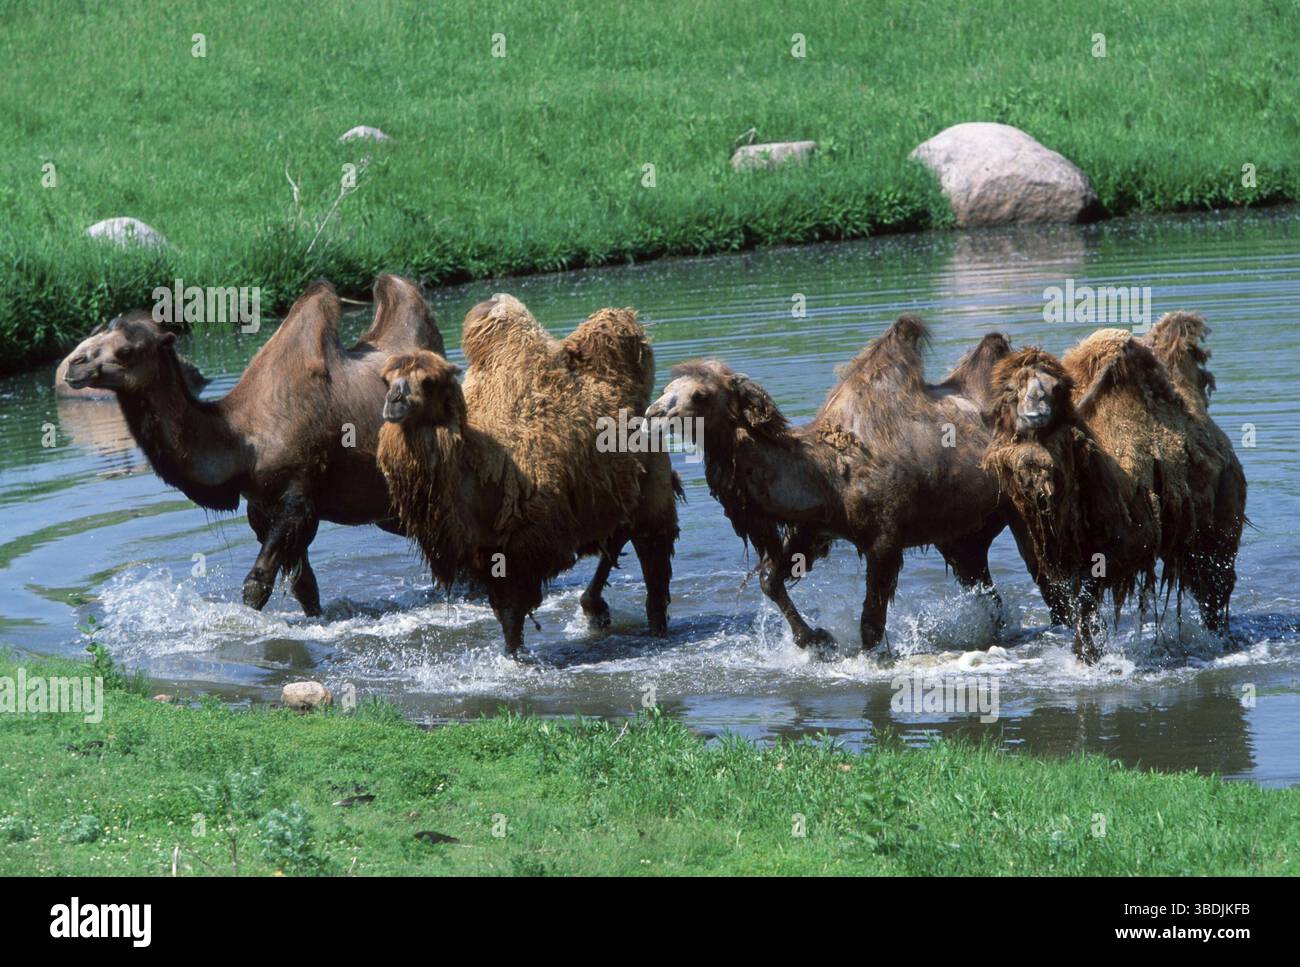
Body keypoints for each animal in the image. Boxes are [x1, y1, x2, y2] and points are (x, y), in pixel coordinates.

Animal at [59, 275, 444, 615]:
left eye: (126, 350)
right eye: (99, 332)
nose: (73, 365)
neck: (244, 444)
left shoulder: (299, 498)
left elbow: (256, 585)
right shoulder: (261, 506)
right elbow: (305, 587)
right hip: (392, 508)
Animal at [377, 295, 680, 655]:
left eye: (428, 381)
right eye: (386, 379)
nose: (394, 401)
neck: (479, 469)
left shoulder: (523, 547)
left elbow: (512, 616)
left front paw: (515, 658)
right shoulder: (487, 554)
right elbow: (507, 618)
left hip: (654, 494)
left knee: (653, 566)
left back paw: (653, 629)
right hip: (617, 494)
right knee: (616, 535)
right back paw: (595, 609)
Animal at [645, 314, 1057, 654]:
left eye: (700, 394)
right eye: (666, 387)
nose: (653, 412)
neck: (827, 476)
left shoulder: (885, 538)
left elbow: (870, 624)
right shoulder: (813, 528)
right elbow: (770, 579)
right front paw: (815, 640)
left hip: (1022, 506)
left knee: (1047, 576)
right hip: (960, 535)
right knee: (985, 587)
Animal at [983, 321, 1245, 661]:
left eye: (1056, 389)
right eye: (1011, 390)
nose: (1034, 414)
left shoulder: (1117, 549)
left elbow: (1086, 601)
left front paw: (1087, 655)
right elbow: (1079, 604)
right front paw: (1086, 652)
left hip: (1220, 525)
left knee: (1215, 585)